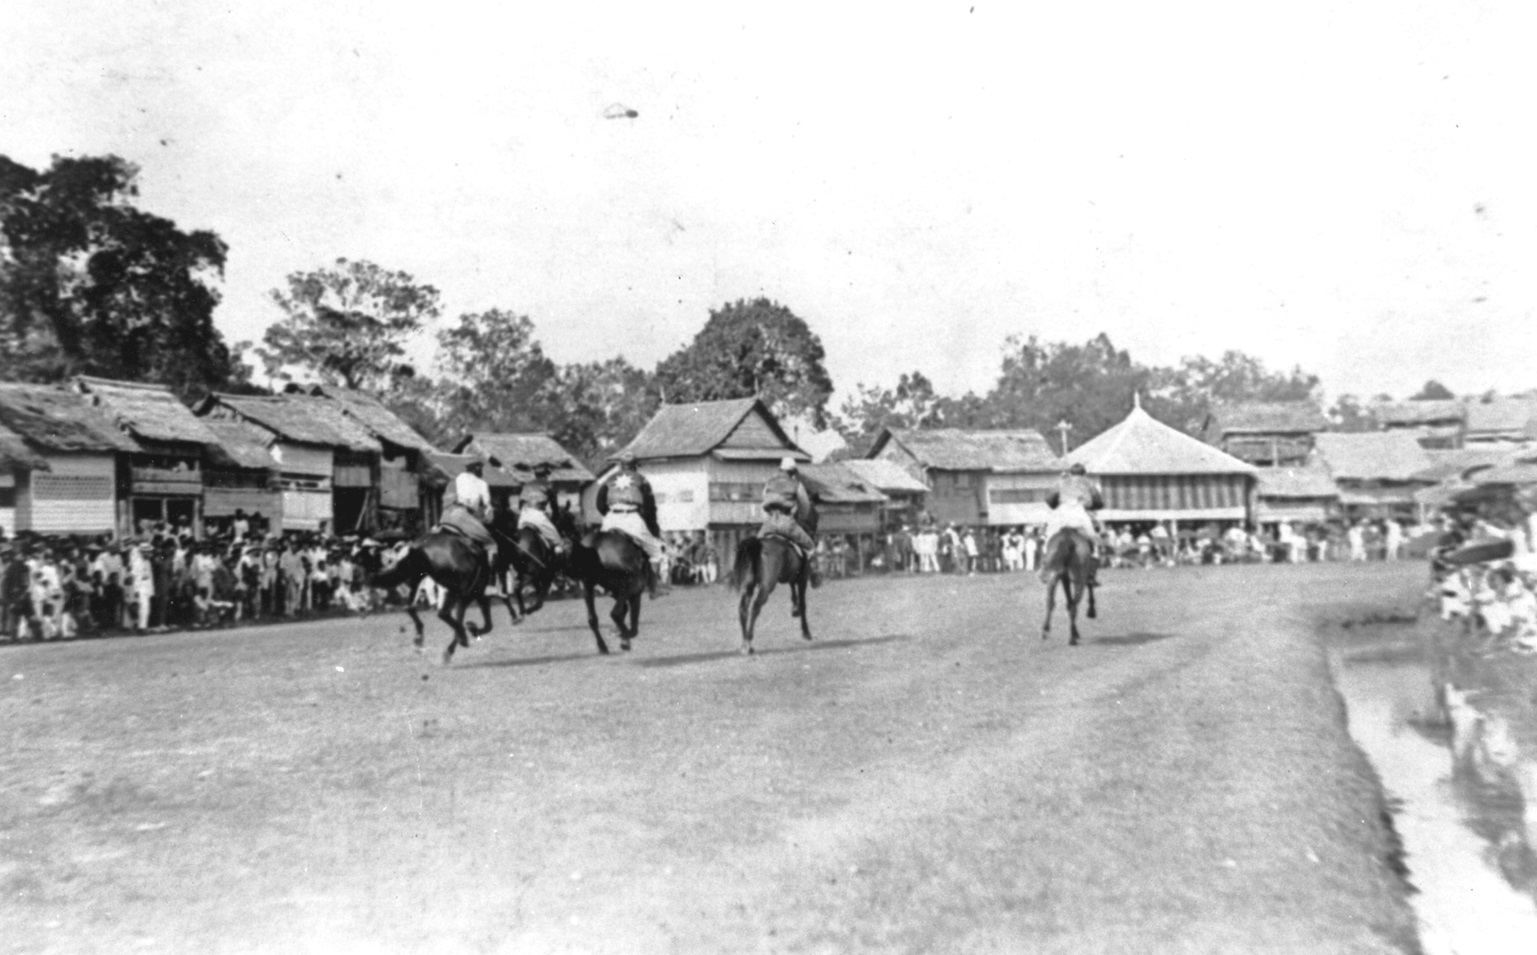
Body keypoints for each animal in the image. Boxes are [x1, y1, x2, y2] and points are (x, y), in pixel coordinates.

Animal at [567, 526, 652, 655]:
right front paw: (624, 638)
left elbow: (623, 611)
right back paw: (623, 635)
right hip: (628, 586)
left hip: (587, 587)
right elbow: (632, 625)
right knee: (615, 614)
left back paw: (603, 646)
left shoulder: (615, 592)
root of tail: (597, 542)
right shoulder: (635, 593)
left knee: (593, 619)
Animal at [728, 508, 818, 655]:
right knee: (755, 607)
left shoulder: (792, 577)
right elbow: (803, 604)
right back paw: (749, 642)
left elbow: (793, 591)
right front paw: (806, 632)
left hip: (747, 586)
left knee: (743, 609)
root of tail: (757, 544)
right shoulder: (802, 579)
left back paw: (744, 643)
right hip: (766, 587)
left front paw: (794, 610)